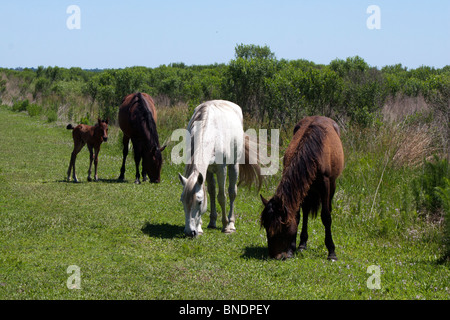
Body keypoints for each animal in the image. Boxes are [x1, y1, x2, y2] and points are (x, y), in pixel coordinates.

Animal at [178, 100, 262, 238]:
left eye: (199, 202)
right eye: (182, 201)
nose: (190, 232)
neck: (210, 134)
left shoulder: (221, 169)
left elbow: (222, 197)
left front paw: (225, 226)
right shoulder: (206, 171)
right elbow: (210, 193)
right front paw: (200, 227)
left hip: (234, 166)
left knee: (232, 192)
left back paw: (231, 223)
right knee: (212, 192)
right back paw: (212, 222)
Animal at [260, 116, 344, 262]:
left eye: (282, 227)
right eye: (265, 226)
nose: (274, 255)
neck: (313, 153)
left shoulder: (326, 184)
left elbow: (326, 216)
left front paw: (331, 251)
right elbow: (297, 216)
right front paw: (291, 249)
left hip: (331, 185)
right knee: (305, 212)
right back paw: (302, 244)